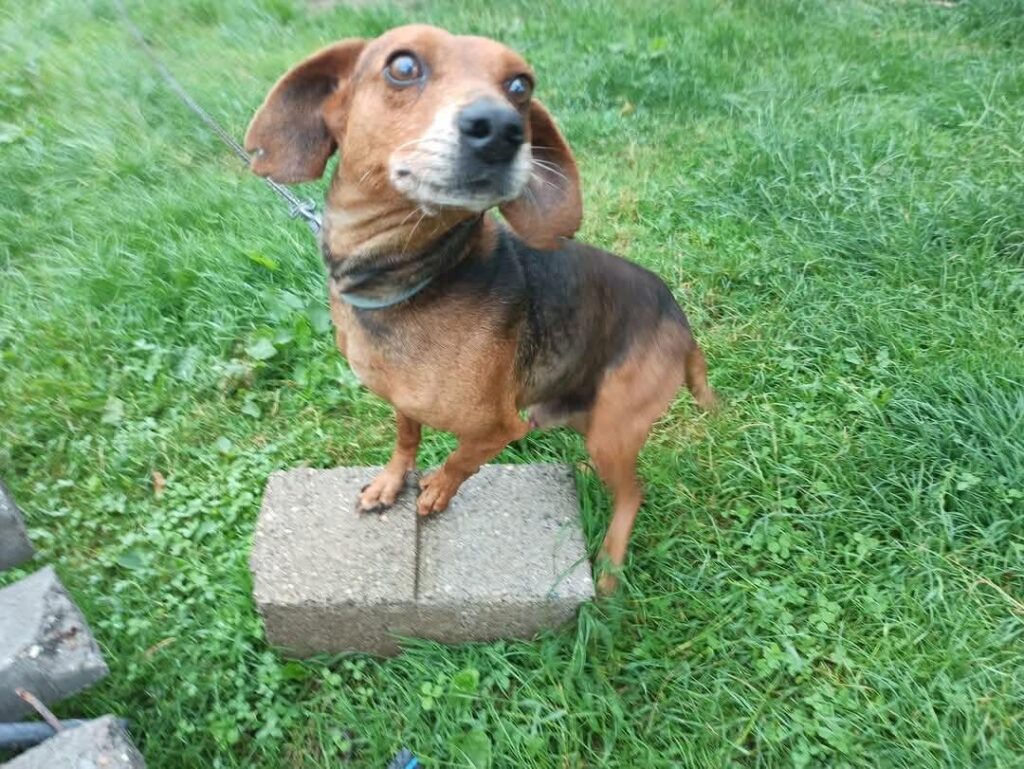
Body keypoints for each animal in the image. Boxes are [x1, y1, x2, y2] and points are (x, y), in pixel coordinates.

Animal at [245, 24, 714, 592]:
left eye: (520, 85)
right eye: (403, 66)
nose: (501, 130)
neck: (412, 276)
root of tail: (681, 322)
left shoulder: (501, 429)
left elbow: (458, 461)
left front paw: (435, 492)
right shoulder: (404, 399)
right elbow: (406, 439)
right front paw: (390, 483)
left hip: (611, 431)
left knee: (634, 492)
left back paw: (609, 566)